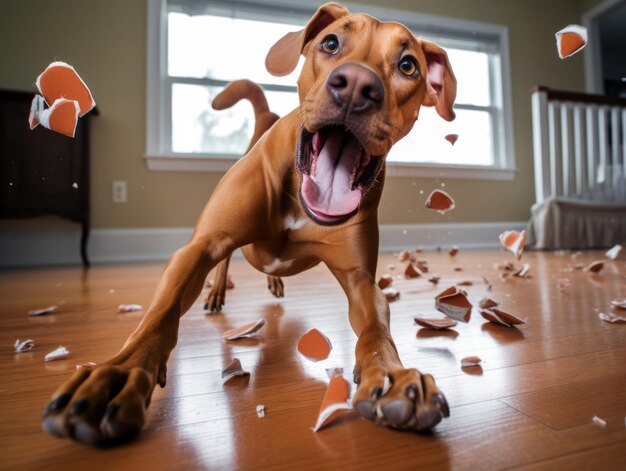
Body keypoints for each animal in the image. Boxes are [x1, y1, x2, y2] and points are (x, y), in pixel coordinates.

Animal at [42, 1, 454, 444]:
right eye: (330, 43)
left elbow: (376, 331)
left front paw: (393, 377)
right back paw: (216, 292)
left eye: (408, 65)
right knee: (225, 260)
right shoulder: (198, 249)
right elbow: (160, 315)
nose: (357, 86)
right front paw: (121, 372)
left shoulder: (360, 280)